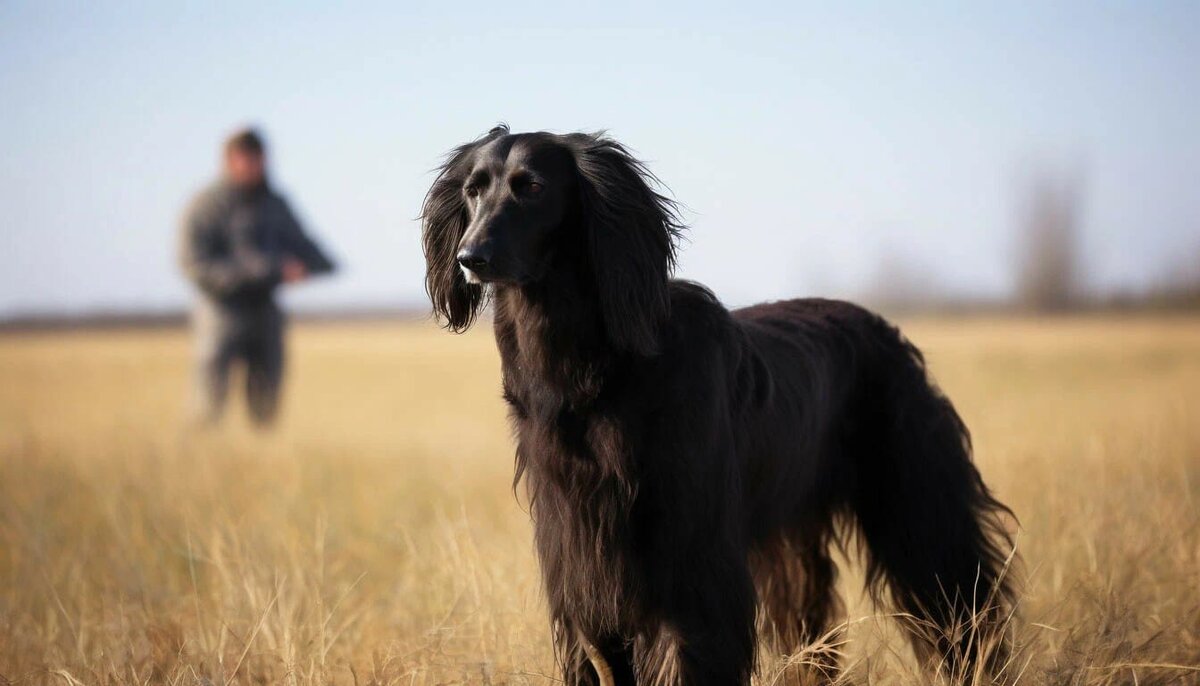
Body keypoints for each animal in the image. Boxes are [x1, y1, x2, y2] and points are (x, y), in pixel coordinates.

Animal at [422, 125, 1012, 681]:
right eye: (473, 189)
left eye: (533, 187)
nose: (470, 257)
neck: (596, 371)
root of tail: (885, 330)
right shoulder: (582, 566)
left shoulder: (689, 569)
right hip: (791, 543)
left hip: (920, 516)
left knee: (966, 613)